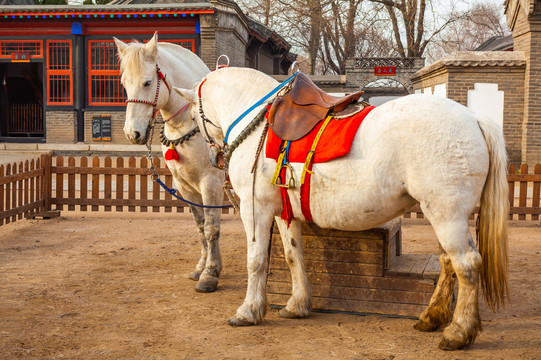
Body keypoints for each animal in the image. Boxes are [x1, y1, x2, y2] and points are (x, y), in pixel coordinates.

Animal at [113, 33, 225, 292]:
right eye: (124, 83)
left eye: (147, 83)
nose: (133, 133)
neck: (188, 123)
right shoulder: (186, 186)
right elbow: (200, 226)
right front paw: (202, 266)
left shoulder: (211, 183)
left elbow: (211, 228)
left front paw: (210, 274)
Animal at [175, 66, 508, 350]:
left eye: (193, 114)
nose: (213, 158)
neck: (259, 123)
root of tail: (474, 118)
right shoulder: (284, 213)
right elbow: (293, 255)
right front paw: (298, 304)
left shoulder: (255, 209)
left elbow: (256, 261)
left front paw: (249, 310)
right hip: (442, 214)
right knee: (448, 263)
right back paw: (431, 317)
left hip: (447, 215)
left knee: (466, 264)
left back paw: (459, 331)